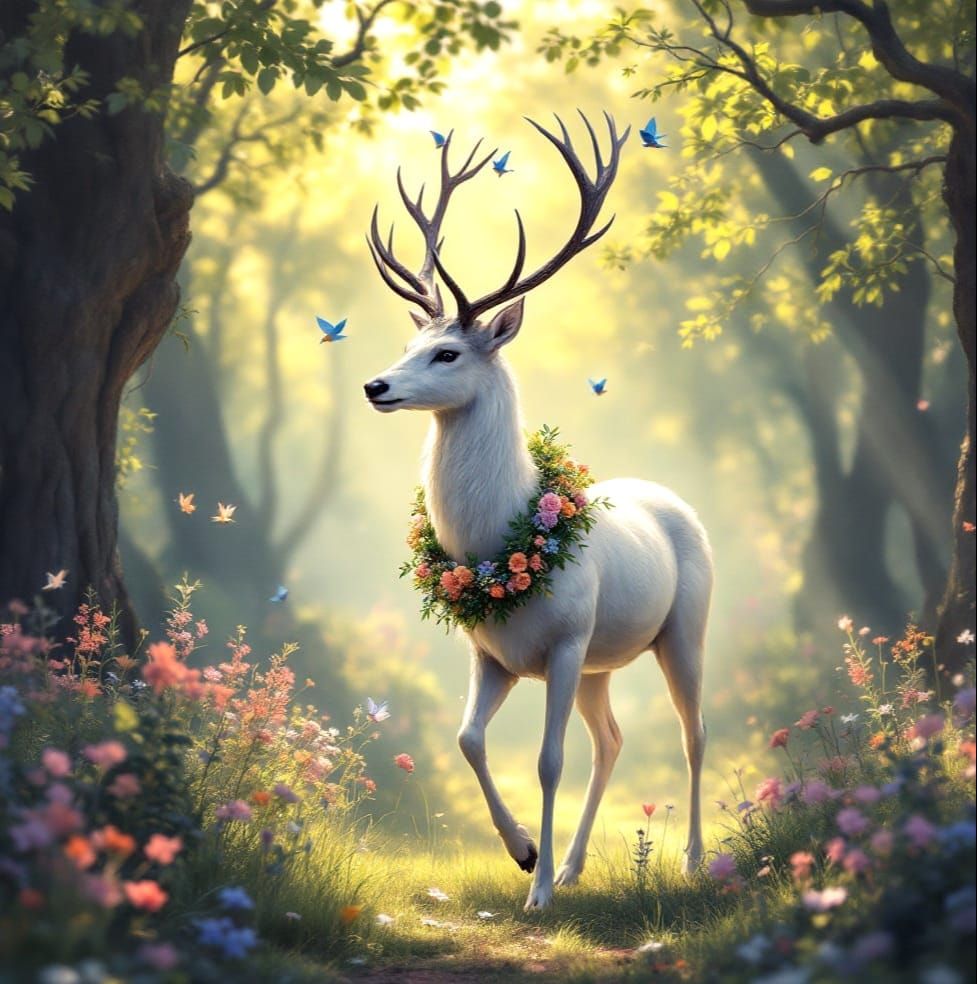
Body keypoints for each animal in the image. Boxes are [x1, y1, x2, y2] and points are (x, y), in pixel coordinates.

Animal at [363, 112, 713, 910]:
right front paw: (525, 853)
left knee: (693, 733)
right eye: (410, 342)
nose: (375, 385)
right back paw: (578, 864)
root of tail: (676, 499)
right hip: (600, 663)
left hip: (681, 628)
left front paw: (539, 891)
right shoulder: (490, 654)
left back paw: (690, 861)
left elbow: (549, 761)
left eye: (449, 354)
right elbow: (467, 740)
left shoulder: (563, 641)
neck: (496, 538)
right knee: (611, 738)